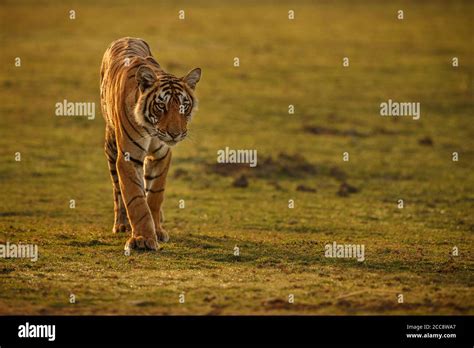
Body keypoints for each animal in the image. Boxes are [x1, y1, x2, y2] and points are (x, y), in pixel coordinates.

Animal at [100, 37, 200, 250]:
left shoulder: (161, 155)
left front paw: (157, 230)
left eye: (183, 106)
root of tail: (126, 37)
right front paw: (143, 239)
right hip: (111, 145)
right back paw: (121, 225)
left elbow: (154, 194)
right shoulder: (128, 157)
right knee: (117, 190)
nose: (175, 134)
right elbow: (136, 200)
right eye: (161, 106)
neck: (152, 130)